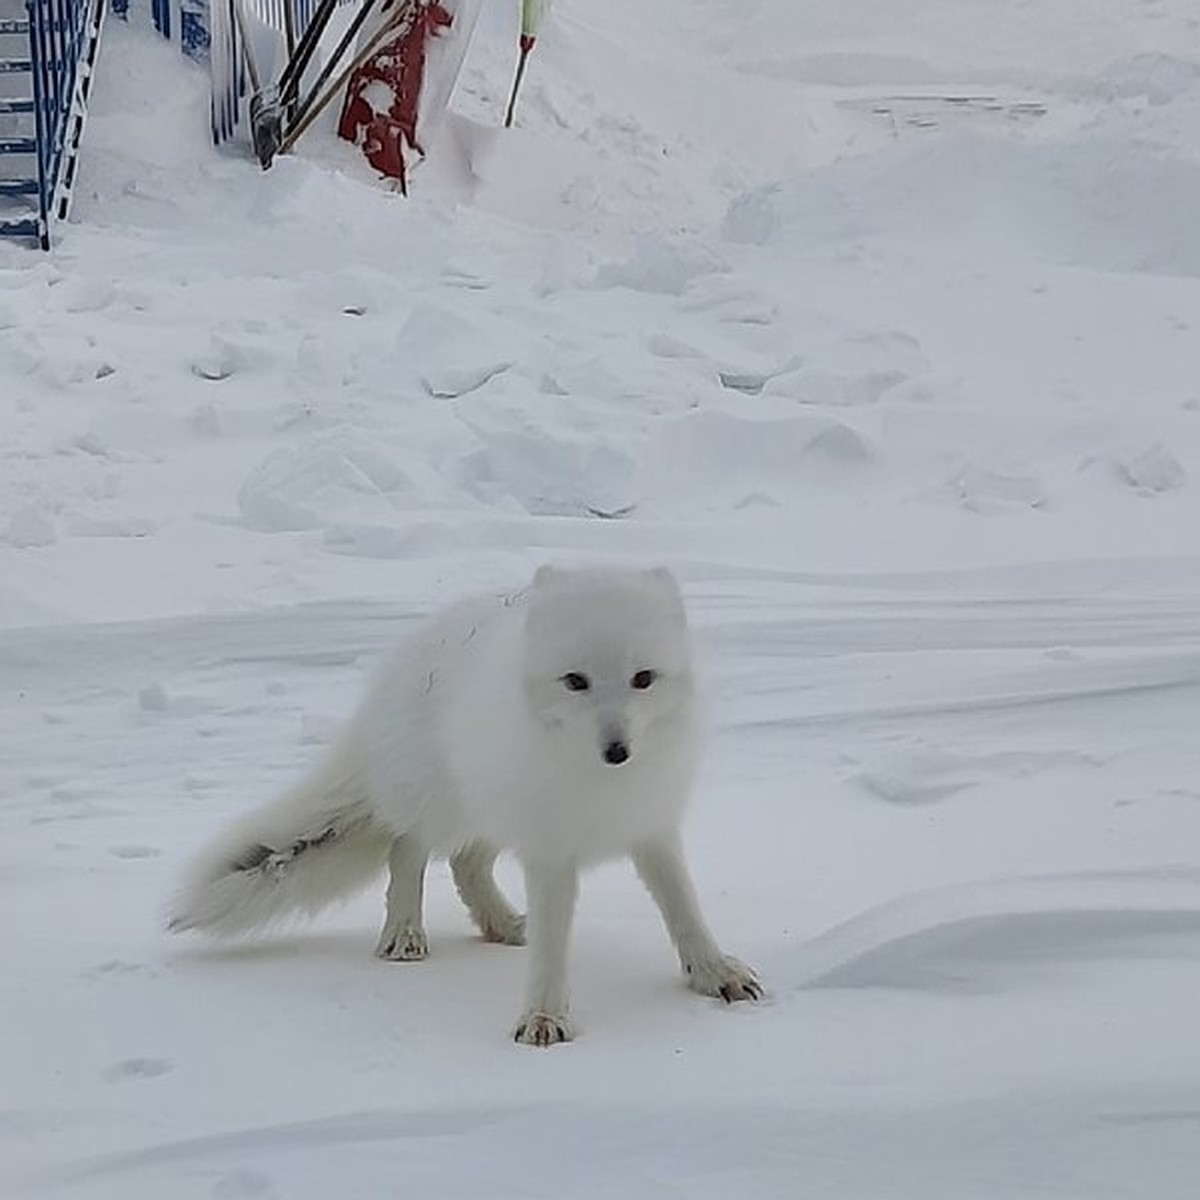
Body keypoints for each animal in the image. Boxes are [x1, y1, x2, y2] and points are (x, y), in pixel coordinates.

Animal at [169, 566, 758, 1046]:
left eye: (643, 679)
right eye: (575, 681)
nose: (618, 751)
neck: (599, 786)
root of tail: (401, 660)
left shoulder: (652, 825)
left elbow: (684, 909)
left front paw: (715, 974)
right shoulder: (550, 849)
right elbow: (552, 947)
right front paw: (543, 1016)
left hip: (488, 809)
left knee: (465, 864)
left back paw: (503, 925)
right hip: (442, 805)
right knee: (407, 850)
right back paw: (405, 934)